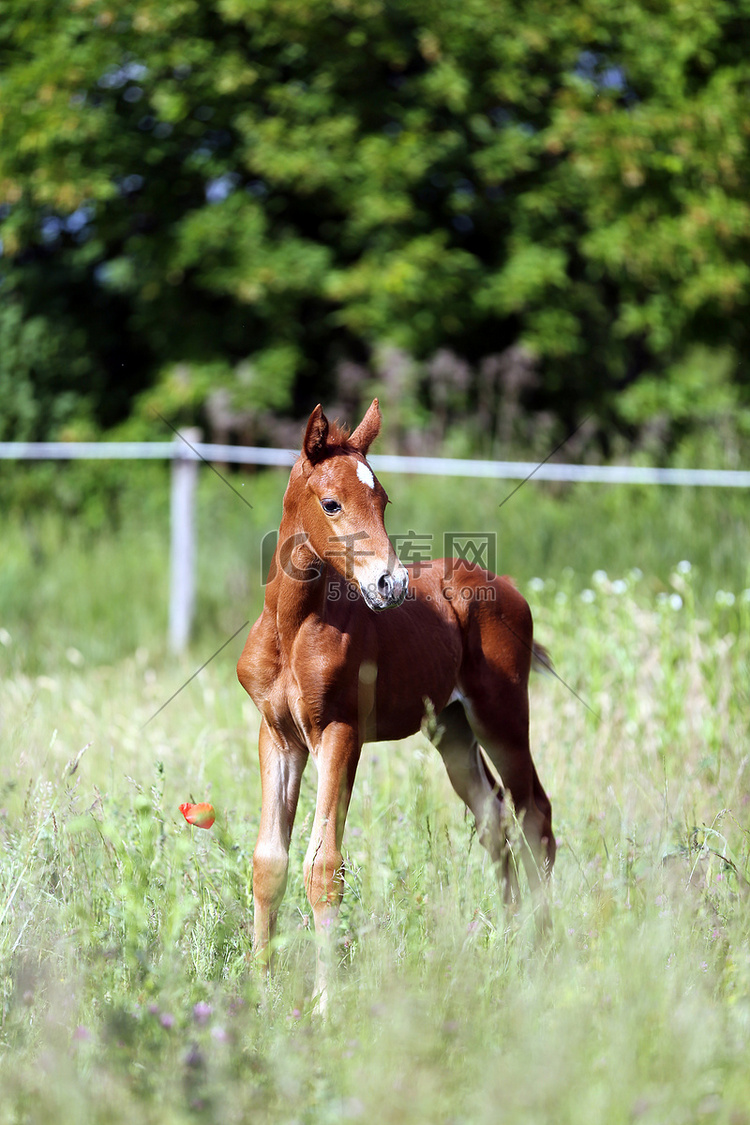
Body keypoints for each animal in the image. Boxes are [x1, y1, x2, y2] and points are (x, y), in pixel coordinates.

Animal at [237, 400, 555, 1008]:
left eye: (382, 500)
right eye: (332, 503)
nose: (392, 584)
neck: (293, 628)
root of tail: (502, 583)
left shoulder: (340, 732)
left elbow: (324, 867)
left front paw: (324, 1006)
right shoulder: (278, 737)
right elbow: (269, 863)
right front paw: (259, 995)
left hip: (502, 717)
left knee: (536, 815)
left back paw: (546, 947)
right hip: (452, 731)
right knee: (494, 818)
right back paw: (511, 943)